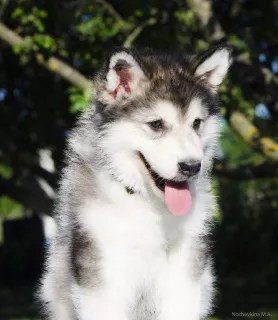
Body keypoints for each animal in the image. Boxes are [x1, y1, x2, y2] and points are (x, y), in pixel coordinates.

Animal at [38, 45, 231, 320]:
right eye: (156, 124)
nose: (192, 167)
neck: (147, 203)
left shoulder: (186, 265)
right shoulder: (102, 267)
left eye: (197, 123)